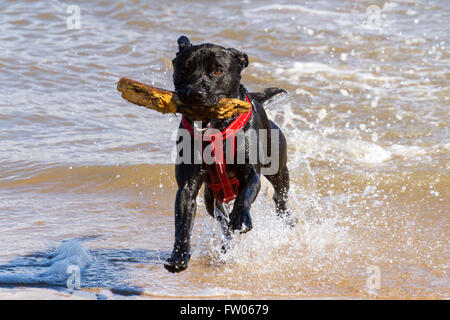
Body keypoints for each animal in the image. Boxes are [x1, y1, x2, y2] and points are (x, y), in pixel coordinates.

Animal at [164, 37, 292, 272]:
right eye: (185, 69)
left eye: (217, 70)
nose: (195, 93)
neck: (216, 132)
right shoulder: (187, 184)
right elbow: (183, 222)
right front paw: (178, 257)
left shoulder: (251, 173)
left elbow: (244, 197)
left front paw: (240, 217)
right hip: (211, 197)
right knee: (221, 220)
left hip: (278, 167)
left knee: (280, 194)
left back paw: (286, 219)